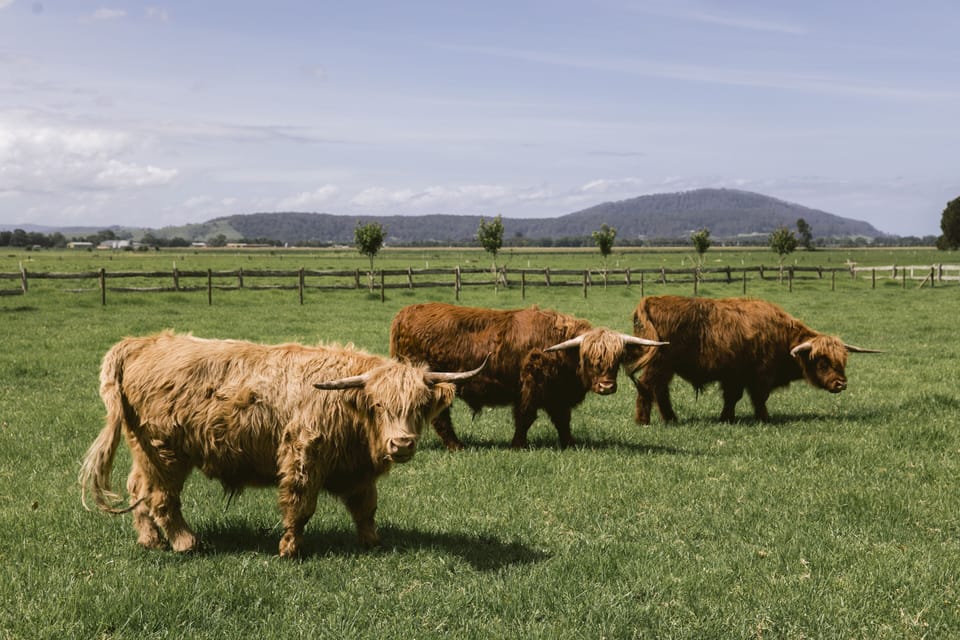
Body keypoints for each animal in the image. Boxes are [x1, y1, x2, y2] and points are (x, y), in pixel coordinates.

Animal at [79, 331, 484, 557]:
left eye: (418, 407)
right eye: (380, 405)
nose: (401, 444)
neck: (350, 408)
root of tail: (140, 343)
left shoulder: (357, 469)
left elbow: (366, 507)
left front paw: (373, 542)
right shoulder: (303, 456)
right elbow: (300, 506)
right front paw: (290, 549)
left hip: (144, 450)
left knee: (138, 489)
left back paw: (151, 541)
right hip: (166, 451)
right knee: (162, 498)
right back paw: (185, 543)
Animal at [389, 302, 666, 450]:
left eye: (616, 359)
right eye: (590, 358)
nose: (606, 386)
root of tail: (406, 312)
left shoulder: (558, 395)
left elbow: (563, 420)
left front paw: (570, 442)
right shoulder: (531, 385)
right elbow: (525, 416)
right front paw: (518, 444)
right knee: (441, 417)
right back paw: (457, 446)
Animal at [628, 295, 880, 424]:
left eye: (843, 360)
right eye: (822, 361)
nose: (841, 383)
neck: (783, 335)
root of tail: (650, 301)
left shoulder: (735, 376)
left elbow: (732, 398)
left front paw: (727, 418)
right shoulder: (760, 376)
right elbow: (758, 398)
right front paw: (764, 419)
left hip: (665, 368)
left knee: (660, 390)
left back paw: (671, 419)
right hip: (659, 365)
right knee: (647, 387)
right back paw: (644, 421)